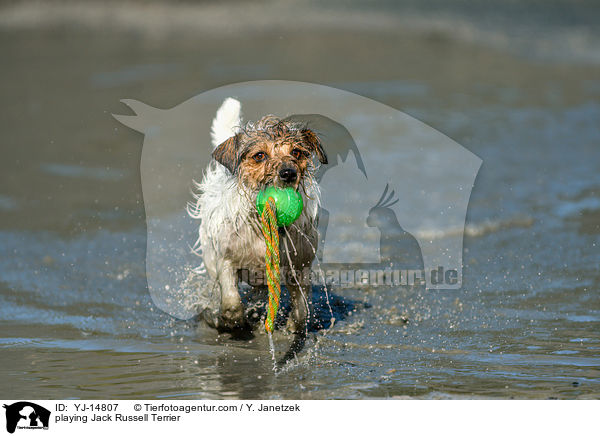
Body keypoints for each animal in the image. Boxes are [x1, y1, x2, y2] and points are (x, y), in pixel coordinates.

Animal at [189, 99, 326, 334]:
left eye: (297, 152)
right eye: (259, 155)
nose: (288, 173)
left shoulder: (300, 266)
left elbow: (302, 310)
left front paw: (291, 327)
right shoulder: (226, 261)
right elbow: (231, 303)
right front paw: (231, 321)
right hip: (210, 256)